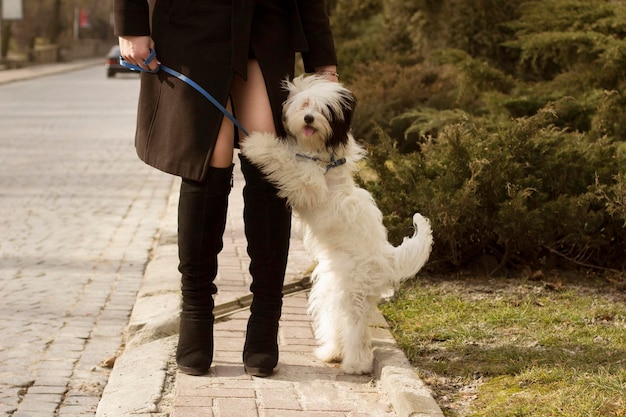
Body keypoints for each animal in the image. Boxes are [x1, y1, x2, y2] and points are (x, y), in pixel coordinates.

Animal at [241, 75, 432, 374]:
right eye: (305, 104)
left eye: (324, 111)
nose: (309, 118)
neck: (321, 157)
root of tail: (387, 257)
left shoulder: (307, 182)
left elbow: (283, 159)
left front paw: (257, 144)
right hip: (333, 290)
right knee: (339, 322)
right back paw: (331, 353)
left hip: (355, 293)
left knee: (356, 329)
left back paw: (357, 364)